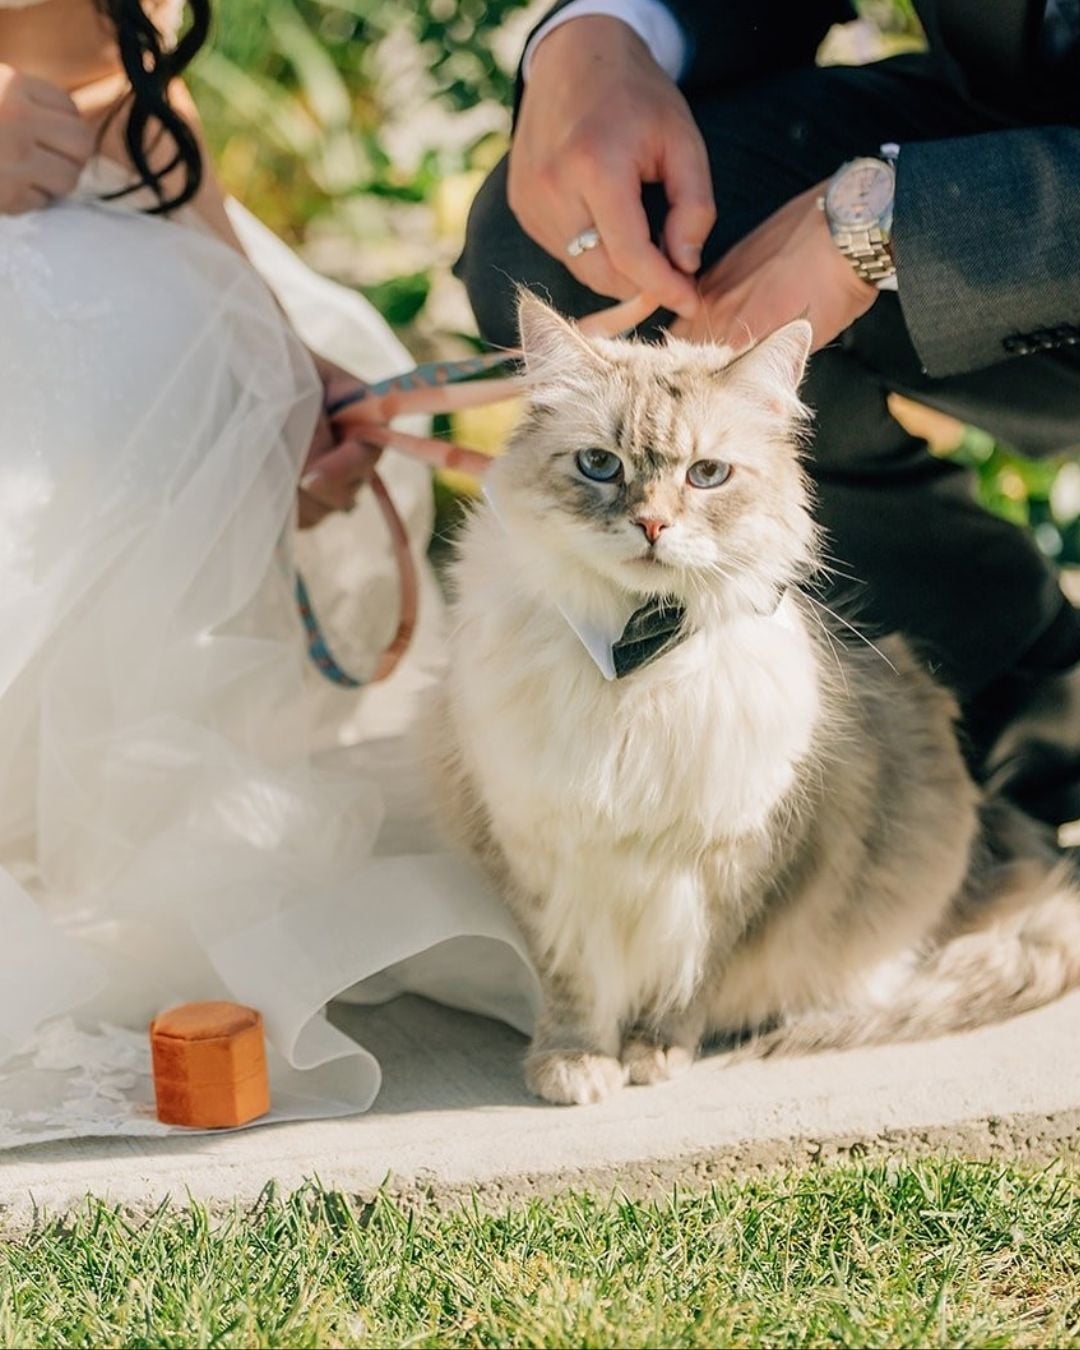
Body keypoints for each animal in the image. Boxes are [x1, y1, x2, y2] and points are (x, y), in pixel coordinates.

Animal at [431, 291, 1080, 1106]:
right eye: (599, 465)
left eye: (706, 474)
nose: (651, 525)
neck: (637, 656)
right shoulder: (543, 857)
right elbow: (572, 983)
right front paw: (574, 1065)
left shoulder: (731, 866)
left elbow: (685, 984)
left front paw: (653, 1055)